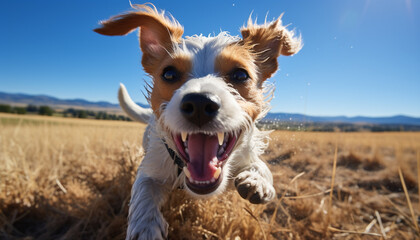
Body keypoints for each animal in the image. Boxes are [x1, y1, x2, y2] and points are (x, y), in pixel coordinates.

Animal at [94, 4, 302, 240]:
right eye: (169, 73)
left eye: (240, 75)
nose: (200, 104)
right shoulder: (152, 168)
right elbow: (143, 192)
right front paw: (145, 228)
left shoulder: (245, 155)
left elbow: (261, 166)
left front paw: (258, 181)